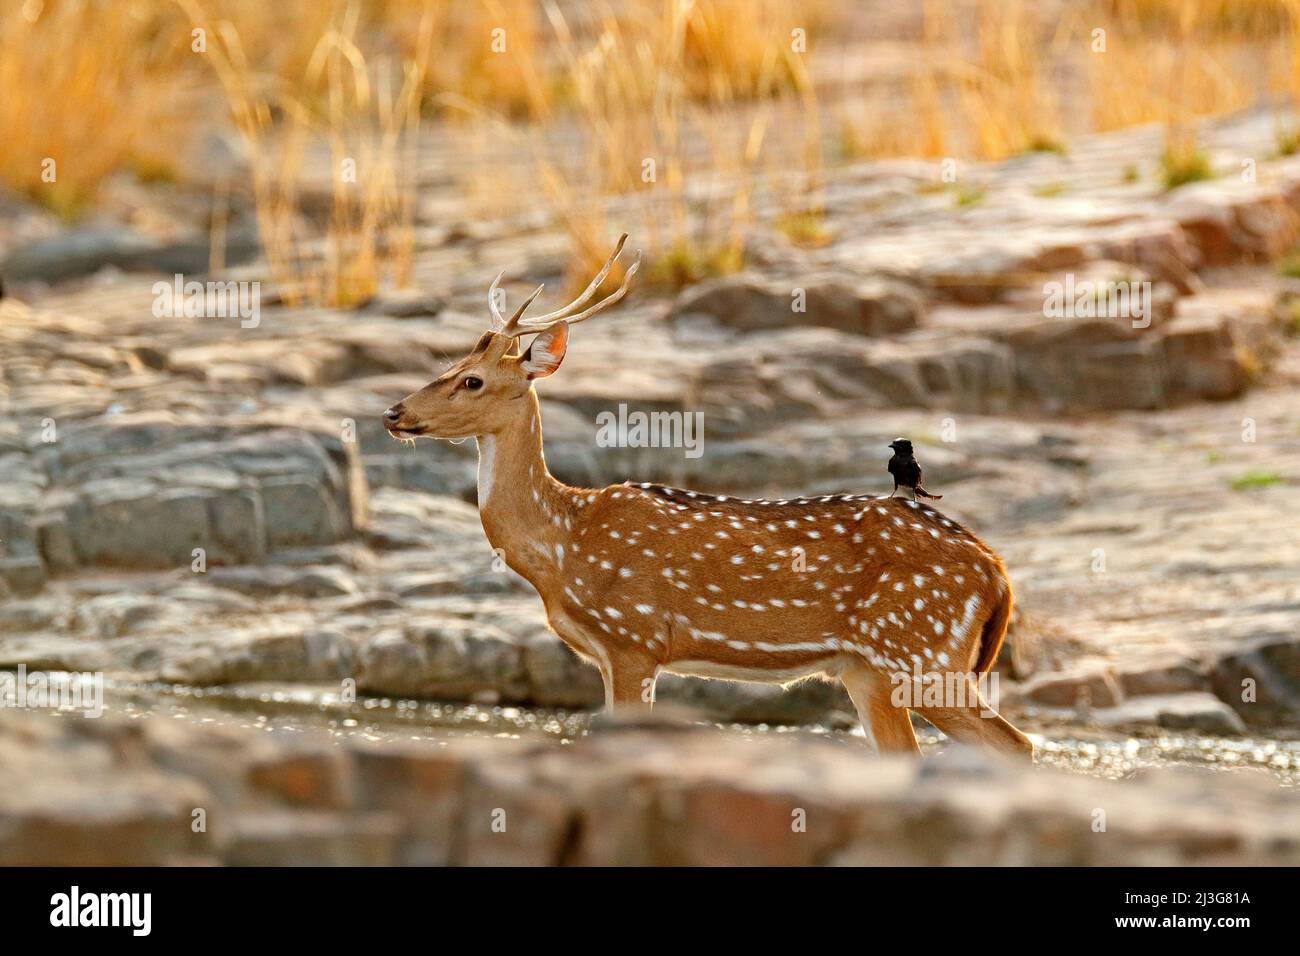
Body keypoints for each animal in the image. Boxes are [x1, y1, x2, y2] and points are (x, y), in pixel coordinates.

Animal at [383, 235, 1034, 759]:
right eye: (450, 363)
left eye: (473, 380)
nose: (394, 412)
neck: (563, 544)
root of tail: (997, 572)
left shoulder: (634, 638)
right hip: (869, 670)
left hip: (922, 652)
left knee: (1015, 743)